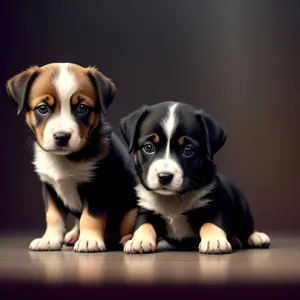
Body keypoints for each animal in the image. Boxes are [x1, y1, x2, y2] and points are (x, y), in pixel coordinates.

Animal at [6, 62, 137, 252]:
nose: (62, 137)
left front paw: (89, 240)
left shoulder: (97, 186)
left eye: (82, 108)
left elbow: (90, 216)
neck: (66, 158)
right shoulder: (49, 187)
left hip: (131, 210)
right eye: (42, 108)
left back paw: (127, 238)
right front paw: (49, 239)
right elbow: (53, 216)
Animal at [120, 102, 272, 254]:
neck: (173, 198)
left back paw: (256, 237)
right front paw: (138, 240)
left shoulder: (212, 205)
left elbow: (211, 224)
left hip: (243, 209)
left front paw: (214, 240)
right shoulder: (146, 209)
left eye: (188, 150)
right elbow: (144, 225)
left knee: (247, 227)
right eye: (148, 147)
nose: (164, 176)